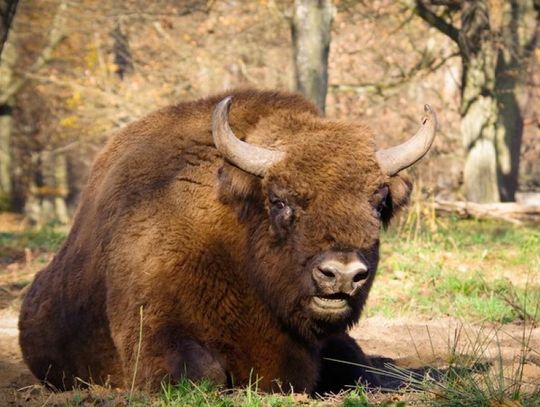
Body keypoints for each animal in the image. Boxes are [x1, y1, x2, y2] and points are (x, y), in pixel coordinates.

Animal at [19, 89, 436, 396]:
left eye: (379, 202)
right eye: (278, 199)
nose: (343, 274)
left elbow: (359, 368)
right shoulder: (154, 329)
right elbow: (204, 374)